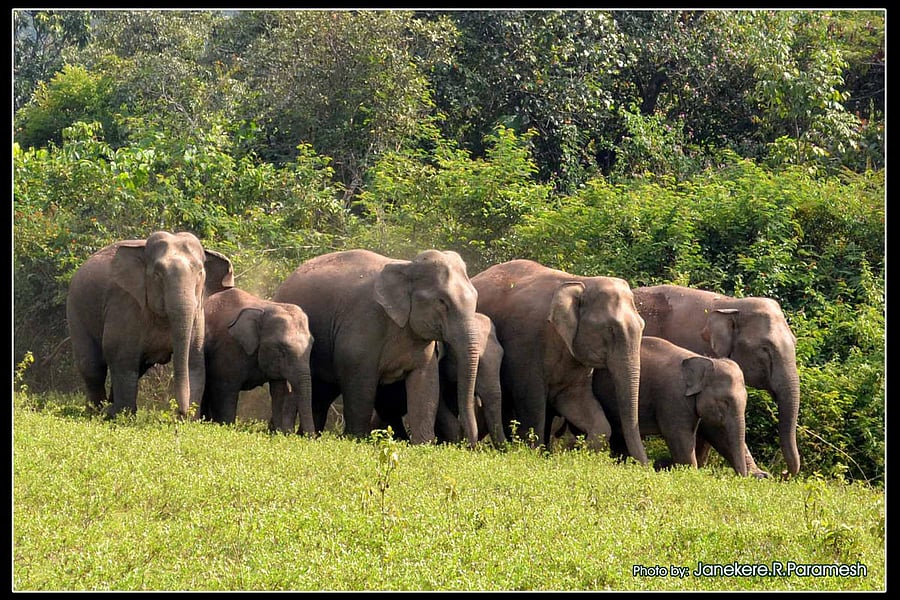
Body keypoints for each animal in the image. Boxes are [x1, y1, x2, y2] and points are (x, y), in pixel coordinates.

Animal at [66, 231, 235, 419]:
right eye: (158, 275)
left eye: (200, 273)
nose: (180, 412)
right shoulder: (125, 304)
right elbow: (121, 357)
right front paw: (123, 417)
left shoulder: (197, 314)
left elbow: (194, 362)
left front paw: (189, 419)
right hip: (76, 309)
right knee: (93, 365)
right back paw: (97, 412)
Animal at [199, 287, 314, 434]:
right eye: (282, 349)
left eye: (312, 344)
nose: (310, 436)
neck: (263, 309)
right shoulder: (228, 349)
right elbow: (226, 391)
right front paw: (226, 427)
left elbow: (278, 392)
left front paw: (277, 433)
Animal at [271, 249, 482, 446]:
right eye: (442, 301)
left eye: (475, 298)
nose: (470, 445)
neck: (406, 266)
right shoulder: (363, 326)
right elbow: (360, 382)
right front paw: (356, 439)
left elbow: (425, 382)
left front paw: (424, 444)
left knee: (322, 395)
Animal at [471, 259, 648, 465]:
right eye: (610, 329)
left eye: (642, 326)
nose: (646, 466)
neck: (580, 281)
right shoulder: (526, 343)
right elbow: (532, 403)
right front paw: (535, 455)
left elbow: (578, 402)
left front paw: (578, 455)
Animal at [592, 336, 750, 476]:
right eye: (725, 402)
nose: (742, 477)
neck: (703, 359)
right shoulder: (673, 397)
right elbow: (679, 437)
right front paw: (690, 475)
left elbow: (717, 433)